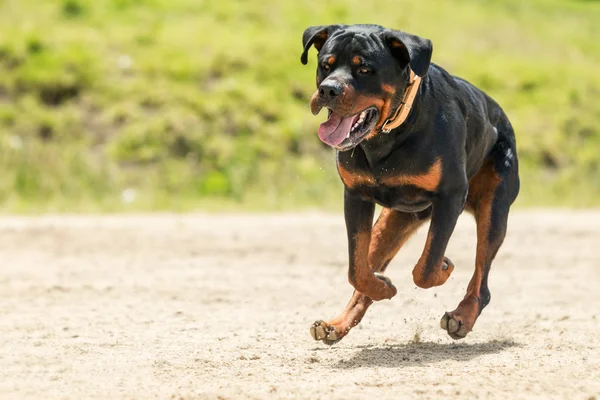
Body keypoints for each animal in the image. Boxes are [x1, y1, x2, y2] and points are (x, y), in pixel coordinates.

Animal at [302, 24, 516, 344]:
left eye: (364, 69)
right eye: (325, 65)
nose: (328, 89)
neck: (388, 135)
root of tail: (500, 114)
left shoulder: (450, 196)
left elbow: (426, 267)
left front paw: (444, 267)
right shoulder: (355, 196)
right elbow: (356, 268)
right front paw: (383, 286)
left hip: (494, 206)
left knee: (482, 280)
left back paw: (462, 317)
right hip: (395, 219)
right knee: (365, 270)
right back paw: (336, 323)